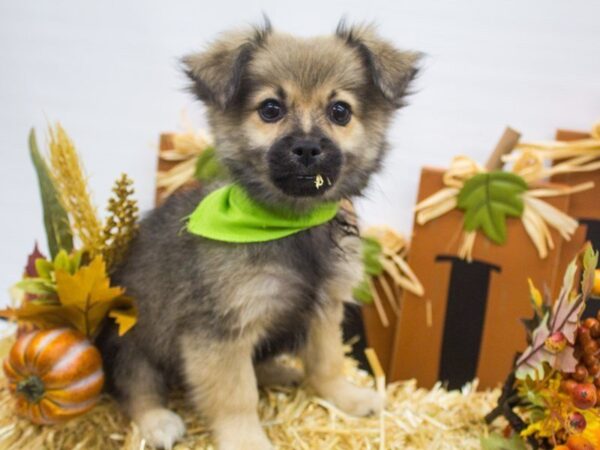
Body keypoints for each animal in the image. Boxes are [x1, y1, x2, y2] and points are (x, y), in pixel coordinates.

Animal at [96, 21, 420, 450]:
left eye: (340, 111)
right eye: (270, 109)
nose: (307, 148)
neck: (291, 225)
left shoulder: (323, 311)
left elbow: (328, 363)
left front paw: (346, 397)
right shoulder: (220, 333)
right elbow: (236, 396)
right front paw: (247, 439)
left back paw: (281, 372)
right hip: (131, 344)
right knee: (136, 387)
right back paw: (157, 422)